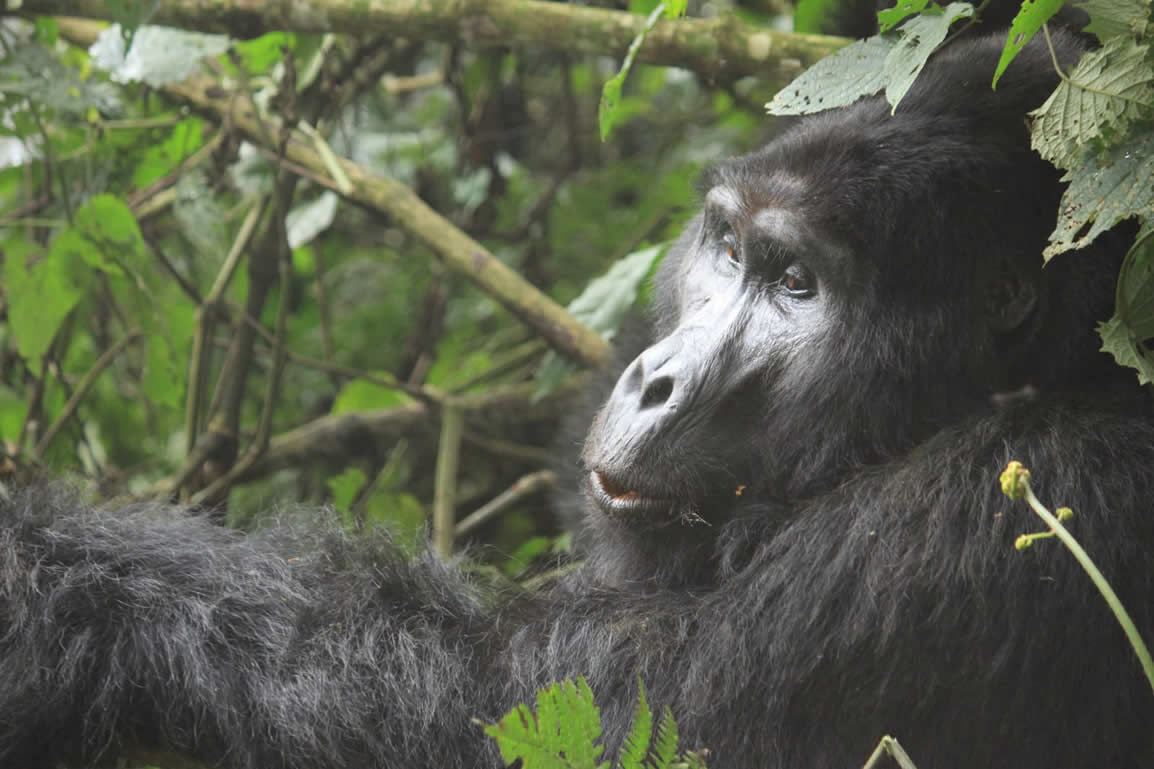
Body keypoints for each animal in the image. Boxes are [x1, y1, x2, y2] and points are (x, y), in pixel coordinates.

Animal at [2, 26, 1154, 766]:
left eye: (797, 284)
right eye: (726, 247)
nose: (653, 379)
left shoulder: (989, 521)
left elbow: (516, 709)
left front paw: (47, 589)